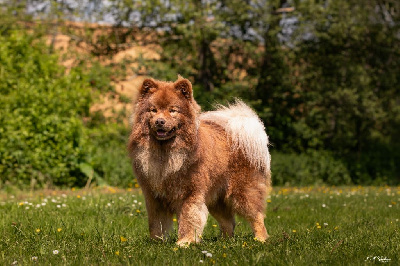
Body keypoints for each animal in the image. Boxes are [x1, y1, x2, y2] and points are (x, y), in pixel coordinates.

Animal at [128, 76, 272, 246]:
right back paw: (224, 242)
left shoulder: (190, 193)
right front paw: (157, 242)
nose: (159, 121)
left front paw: (185, 242)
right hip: (216, 198)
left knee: (256, 216)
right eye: (153, 110)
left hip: (243, 192)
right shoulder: (154, 197)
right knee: (228, 222)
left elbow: (188, 219)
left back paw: (260, 239)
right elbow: (156, 223)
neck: (165, 153)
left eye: (172, 110)